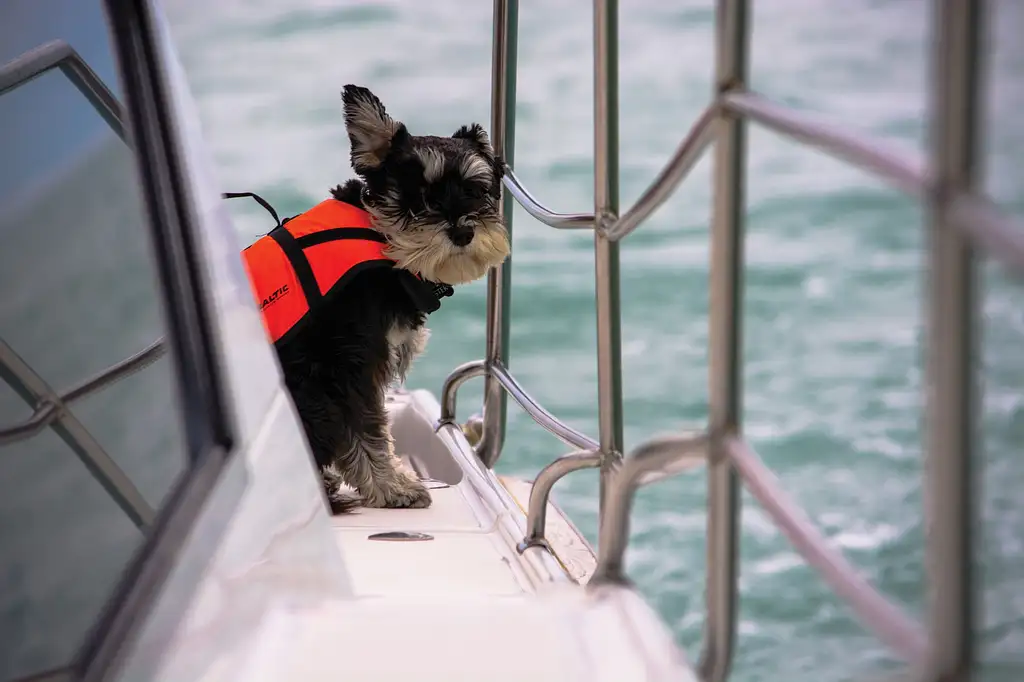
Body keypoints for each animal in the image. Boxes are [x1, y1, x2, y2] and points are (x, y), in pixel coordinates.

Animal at [270, 83, 509, 509]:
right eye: (421, 195)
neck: (380, 236)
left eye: (476, 189)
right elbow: (367, 431)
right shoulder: (348, 367)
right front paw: (393, 487)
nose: (464, 232)